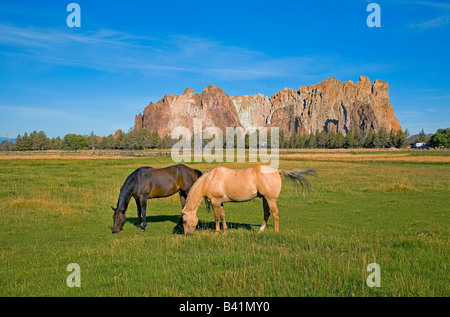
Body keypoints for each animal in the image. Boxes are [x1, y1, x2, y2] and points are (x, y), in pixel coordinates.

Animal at [182, 165, 316, 235]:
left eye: (184, 220)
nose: (187, 235)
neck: (209, 179)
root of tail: (277, 171)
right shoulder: (221, 202)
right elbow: (223, 216)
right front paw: (224, 231)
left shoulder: (215, 202)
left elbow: (216, 217)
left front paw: (216, 232)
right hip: (265, 199)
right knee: (267, 213)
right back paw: (260, 230)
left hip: (270, 199)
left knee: (275, 214)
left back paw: (275, 231)